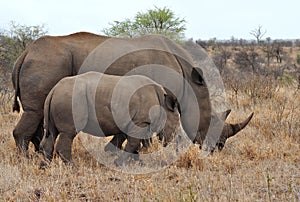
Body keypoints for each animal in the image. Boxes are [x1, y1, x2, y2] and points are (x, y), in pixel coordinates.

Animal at [38, 71, 182, 166]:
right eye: (175, 126)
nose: (177, 144)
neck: (163, 104)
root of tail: (54, 90)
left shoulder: (134, 122)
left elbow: (133, 141)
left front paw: (136, 162)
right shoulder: (140, 121)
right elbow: (134, 142)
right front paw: (119, 162)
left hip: (61, 98)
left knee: (51, 133)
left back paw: (45, 166)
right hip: (71, 99)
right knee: (68, 133)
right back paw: (73, 167)